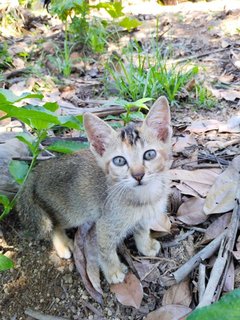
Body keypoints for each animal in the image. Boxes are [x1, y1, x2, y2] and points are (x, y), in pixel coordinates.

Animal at [15, 96, 172, 284]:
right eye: (120, 161)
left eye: (149, 154)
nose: (138, 175)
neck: (144, 197)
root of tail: (37, 171)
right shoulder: (105, 225)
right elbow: (105, 251)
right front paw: (113, 271)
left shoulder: (143, 218)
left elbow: (142, 231)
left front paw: (146, 246)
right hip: (71, 212)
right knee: (53, 226)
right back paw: (63, 244)